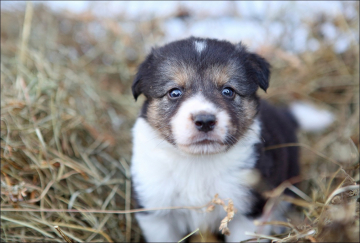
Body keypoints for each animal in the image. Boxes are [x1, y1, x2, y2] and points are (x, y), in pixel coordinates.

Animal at [129, 37, 332, 242]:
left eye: (228, 91)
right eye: (174, 92)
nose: (204, 121)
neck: (198, 162)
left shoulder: (248, 210)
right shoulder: (156, 212)